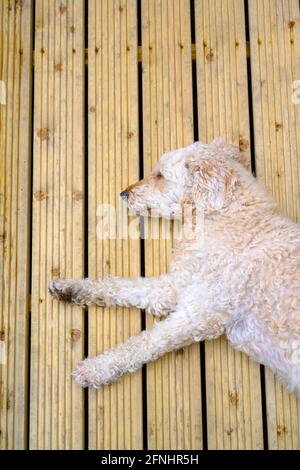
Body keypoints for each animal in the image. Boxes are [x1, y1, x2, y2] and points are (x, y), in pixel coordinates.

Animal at [48, 137, 300, 392]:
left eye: (160, 175)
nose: (124, 193)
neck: (230, 218)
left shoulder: (200, 312)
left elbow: (144, 342)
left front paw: (94, 369)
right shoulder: (176, 285)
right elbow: (122, 286)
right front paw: (69, 289)